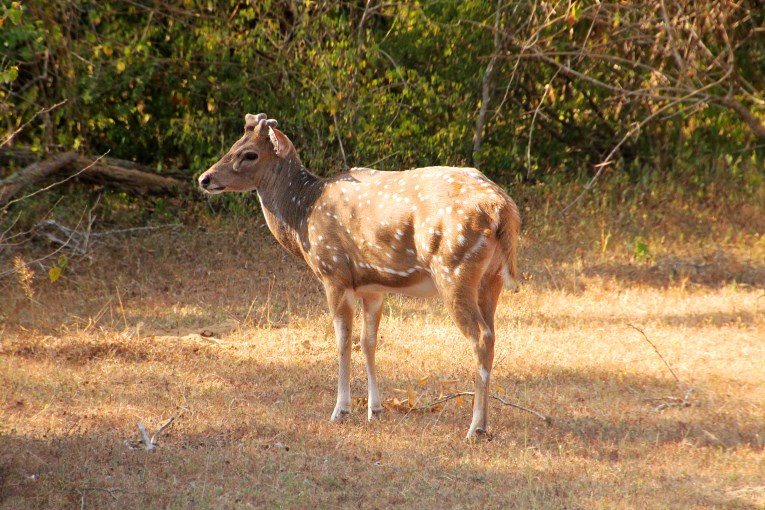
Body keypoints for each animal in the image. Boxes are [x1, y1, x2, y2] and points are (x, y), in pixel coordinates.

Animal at [197, 114, 520, 438]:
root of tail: (502, 208)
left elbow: (343, 340)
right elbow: (368, 342)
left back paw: (475, 427)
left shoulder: (334, 273)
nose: (205, 178)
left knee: (480, 336)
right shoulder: (372, 286)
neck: (303, 216)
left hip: (453, 268)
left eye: (249, 154)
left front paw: (341, 409)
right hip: (491, 278)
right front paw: (374, 409)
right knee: (492, 334)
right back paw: (484, 423)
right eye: (234, 144)